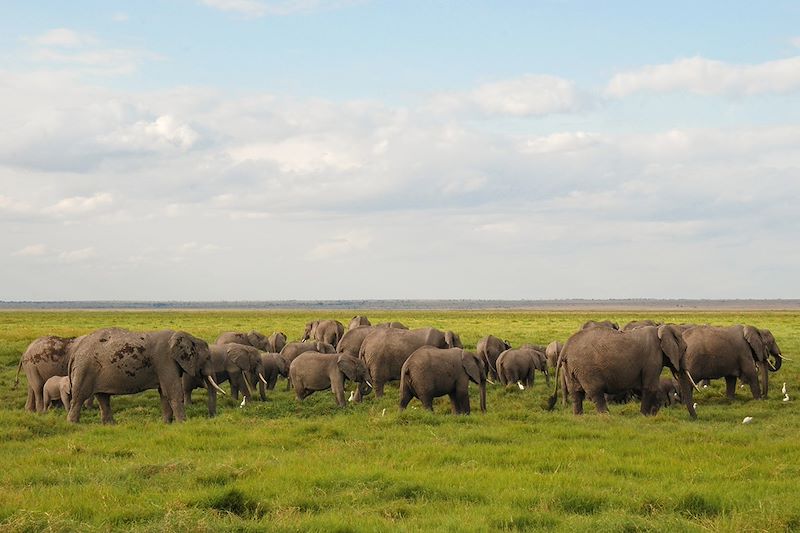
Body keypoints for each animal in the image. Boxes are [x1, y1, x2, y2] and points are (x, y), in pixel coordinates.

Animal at [65, 328, 220, 424]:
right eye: (207, 358)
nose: (211, 417)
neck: (187, 337)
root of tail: (75, 351)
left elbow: (164, 393)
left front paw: (166, 424)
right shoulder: (165, 361)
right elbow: (173, 392)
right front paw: (183, 423)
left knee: (103, 398)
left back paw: (110, 425)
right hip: (85, 369)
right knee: (79, 397)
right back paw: (73, 424)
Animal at [552, 322, 700, 418]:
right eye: (685, 349)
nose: (694, 418)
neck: (660, 330)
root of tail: (566, 347)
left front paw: (651, 413)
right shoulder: (652, 359)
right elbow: (650, 387)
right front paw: (644, 416)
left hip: (571, 367)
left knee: (576, 393)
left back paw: (579, 417)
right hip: (586, 368)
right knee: (595, 391)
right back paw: (606, 415)